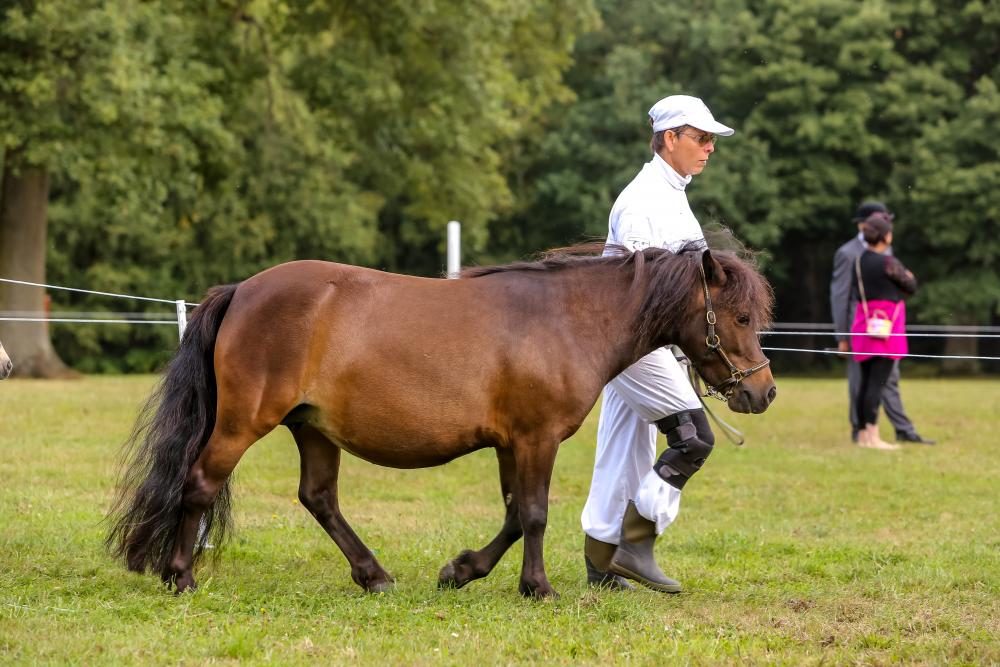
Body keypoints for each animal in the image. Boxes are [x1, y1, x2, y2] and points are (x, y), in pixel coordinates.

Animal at [111, 243, 780, 596]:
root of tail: (243, 290)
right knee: (200, 483)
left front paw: (462, 570)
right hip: (244, 423)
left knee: (319, 498)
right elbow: (534, 514)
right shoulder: (536, 439)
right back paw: (180, 576)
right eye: (742, 316)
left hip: (313, 428)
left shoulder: (512, 444)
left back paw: (374, 575)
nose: (764, 391)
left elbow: (513, 515)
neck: (566, 318)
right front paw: (537, 587)